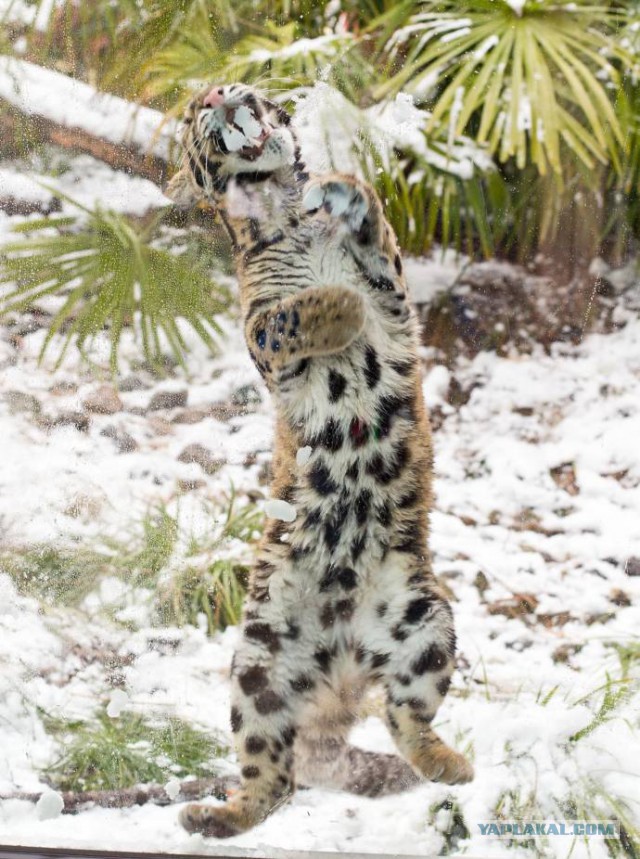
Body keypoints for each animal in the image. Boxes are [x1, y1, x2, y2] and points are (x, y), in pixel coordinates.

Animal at [166, 82, 476, 840]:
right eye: (193, 111)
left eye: (236, 87)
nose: (218, 94)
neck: (279, 212)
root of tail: (343, 664)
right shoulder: (262, 336)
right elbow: (287, 316)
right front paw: (337, 307)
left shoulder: (392, 284)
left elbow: (373, 222)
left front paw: (338, 190)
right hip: (258, 658)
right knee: (274, 776)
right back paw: (214, 816)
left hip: (426, 622)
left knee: (401, 714)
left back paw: (449, 762)